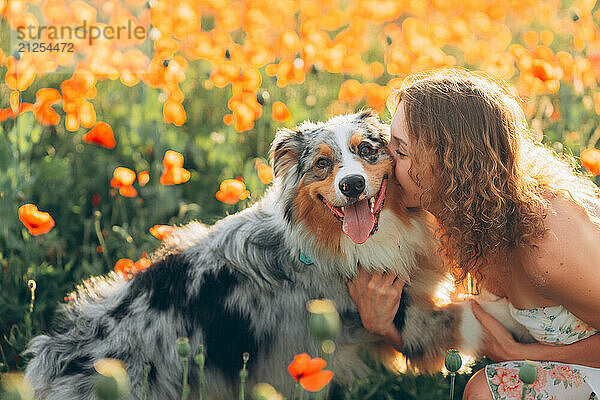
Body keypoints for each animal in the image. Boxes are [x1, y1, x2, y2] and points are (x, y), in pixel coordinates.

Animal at [24, 109, 528, 400]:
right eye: (322, 164)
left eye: (367, 150)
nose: (351, 185)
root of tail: (51, 364)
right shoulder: (390, 316)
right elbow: (468, 315)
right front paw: (526, 317)